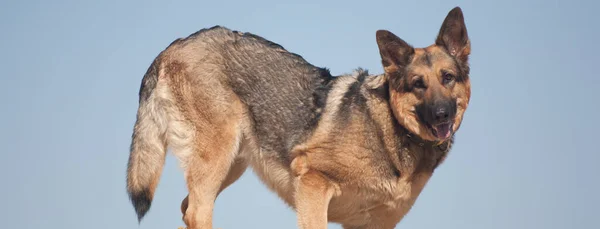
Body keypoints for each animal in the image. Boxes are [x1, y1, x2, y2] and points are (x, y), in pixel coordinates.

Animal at [126, 6, 472, 228]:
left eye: (448, 78)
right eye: (418, 84)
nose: (442, 114)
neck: (390, 131)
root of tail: (174, 46)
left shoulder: (375, 223)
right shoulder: (313, 185)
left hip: (232, 164)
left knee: (188, 209)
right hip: (218, 156)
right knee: (197, 213)